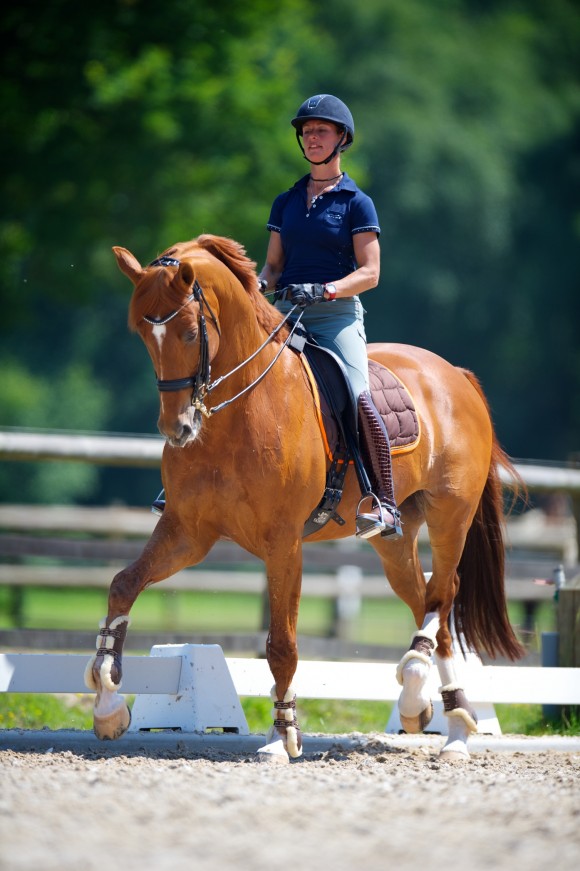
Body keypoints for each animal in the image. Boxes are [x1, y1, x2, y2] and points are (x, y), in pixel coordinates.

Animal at [86, 233, 524, 764]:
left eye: (190, 333)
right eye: (142, 336)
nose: (179, 429)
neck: (240, 410)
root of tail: (454, 373)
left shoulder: (283, 542)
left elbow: (282, 644)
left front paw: (281, 736)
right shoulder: (188, 532)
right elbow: (123, 585)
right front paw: (107, 703)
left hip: (450, 514)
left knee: (443, 594)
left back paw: (428, 696)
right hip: (394, 538)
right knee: (428, 605)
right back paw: (442, 717)